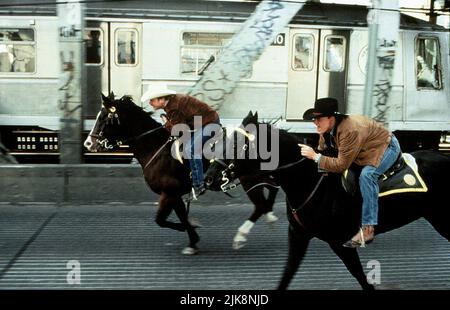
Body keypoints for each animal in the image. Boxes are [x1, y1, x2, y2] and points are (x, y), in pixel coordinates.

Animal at [84, 94, 280, 254]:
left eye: (104, 117)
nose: (88, 143)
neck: (157, 148)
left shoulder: (169, 192)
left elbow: (163, 220)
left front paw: (192, 235)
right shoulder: (174, 194)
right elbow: (179, 216)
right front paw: (192, 239)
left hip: (249, 181)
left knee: (261, 203)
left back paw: (244, 234)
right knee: (271, 191)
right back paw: (270, 217)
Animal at [205, 111, 450, 288]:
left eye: (237, 144)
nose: (209, 178)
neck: (309, 182)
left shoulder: (340, 243)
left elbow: (361, 278)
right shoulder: (298, 236)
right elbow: (287, 274)